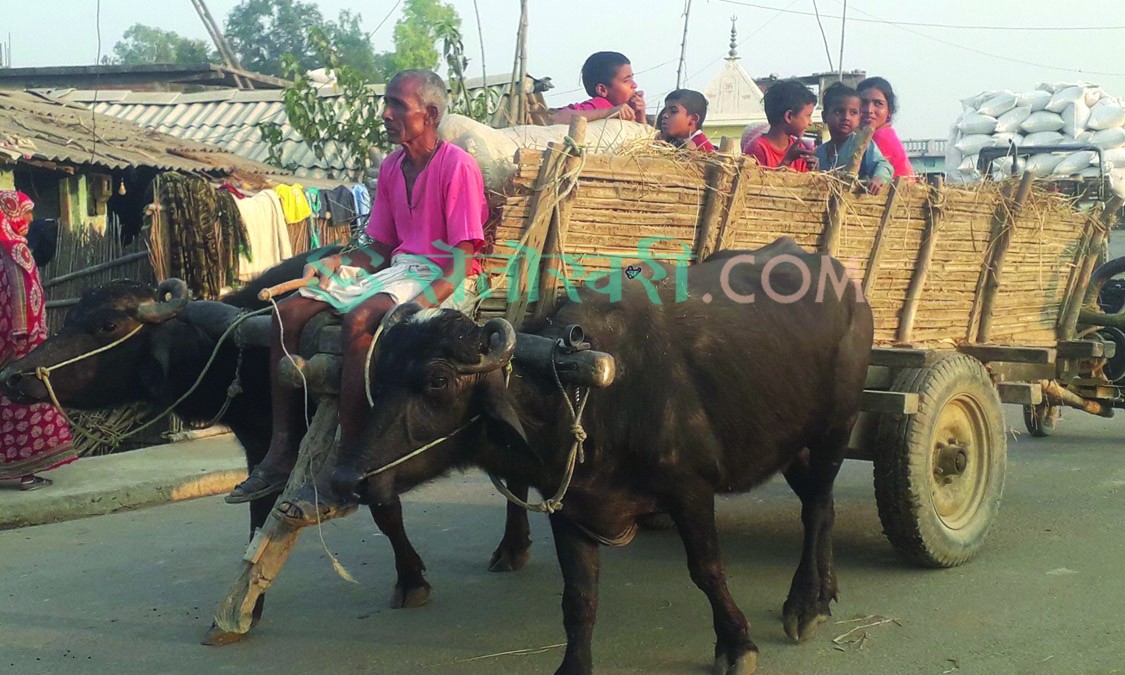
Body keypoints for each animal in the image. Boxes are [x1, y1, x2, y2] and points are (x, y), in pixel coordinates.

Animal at [328, 238, 873, 675]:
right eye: (380, 371)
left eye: (438, 380)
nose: (346, 477)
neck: (587, 396)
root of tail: (845, 284)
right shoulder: (570, 505)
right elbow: (579, 597)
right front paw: (574, 665)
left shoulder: (691, 490)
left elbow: (707, 569)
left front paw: (737, 644)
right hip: (792, 441)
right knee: (821, 507)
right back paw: (825, 591)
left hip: (836, 426)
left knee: (816, 509)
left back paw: (805, 604)